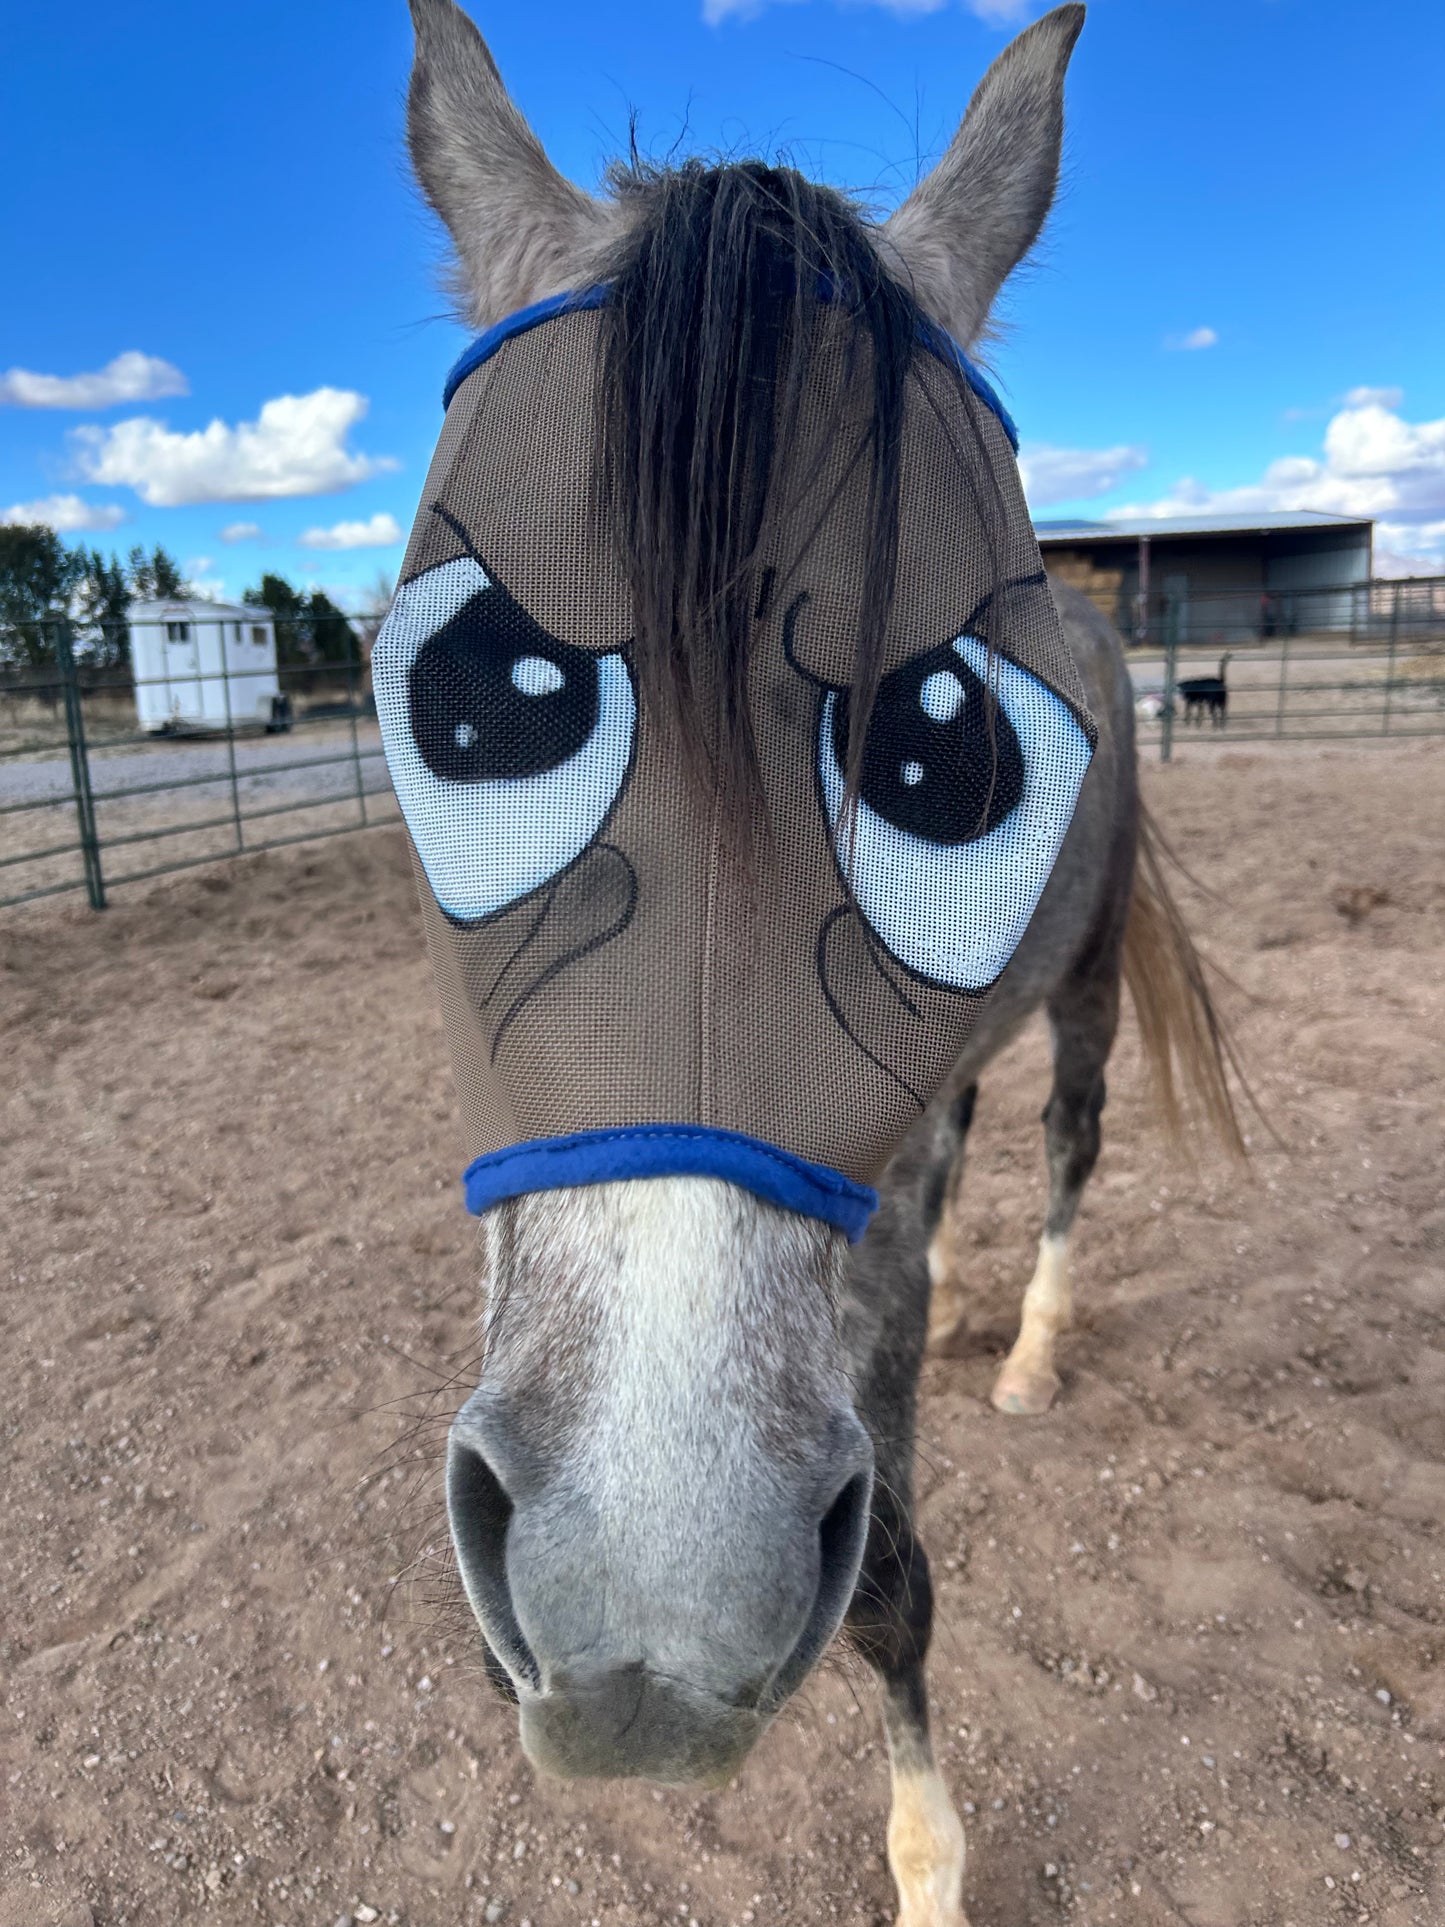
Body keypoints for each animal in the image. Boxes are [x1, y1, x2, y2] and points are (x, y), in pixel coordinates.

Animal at [391, 7, 1240, 1919]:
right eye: (473, 706)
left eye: (951, 751)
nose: (640, 1626)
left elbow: (900, 1578)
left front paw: (928, 1862)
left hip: (1081, 984)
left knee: (1068, 1143)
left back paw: (1032, 1347)